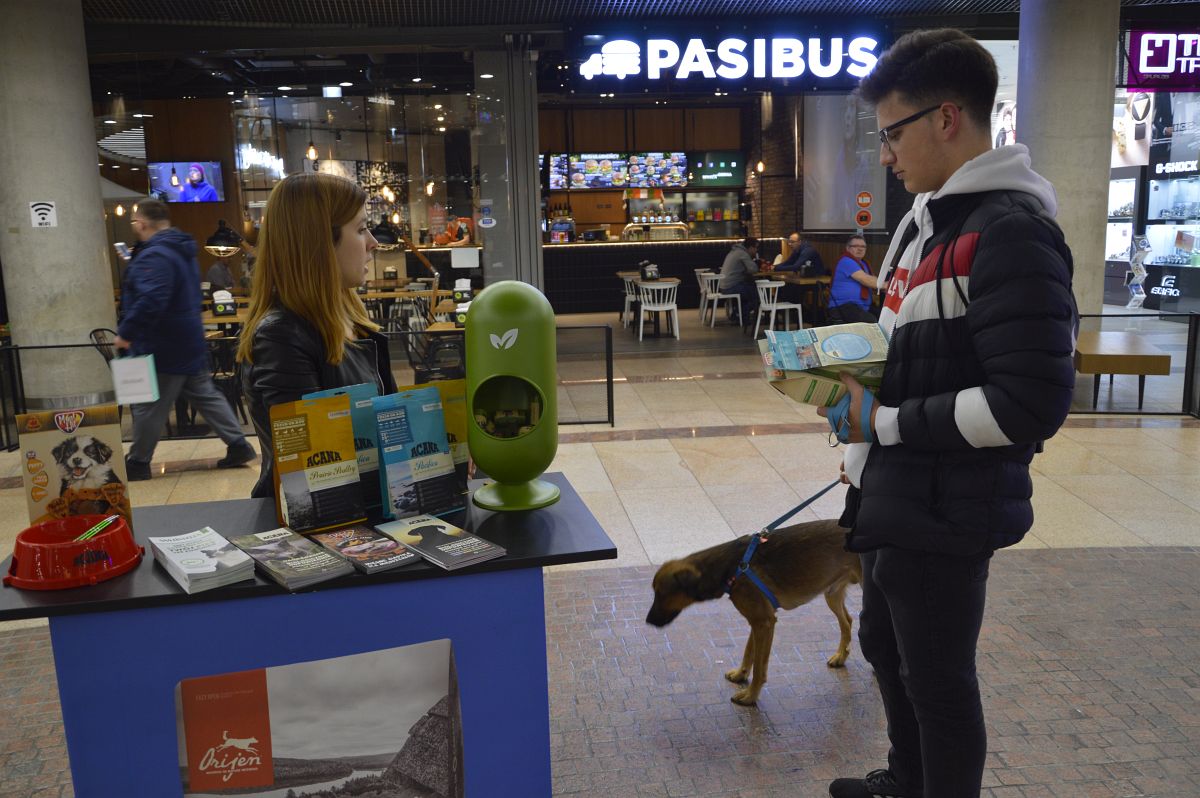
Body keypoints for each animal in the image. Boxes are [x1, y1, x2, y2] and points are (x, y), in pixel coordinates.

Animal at [646, 518, 861, 706]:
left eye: (661, 594)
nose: (648, 621)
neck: (731, 567)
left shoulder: (764, 623)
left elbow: (759, 667)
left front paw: (750, 696)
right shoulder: (757, 621)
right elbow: (749, 651)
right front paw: (740, 675)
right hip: (831, 593)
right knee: (848, 621)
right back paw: (840, 656)